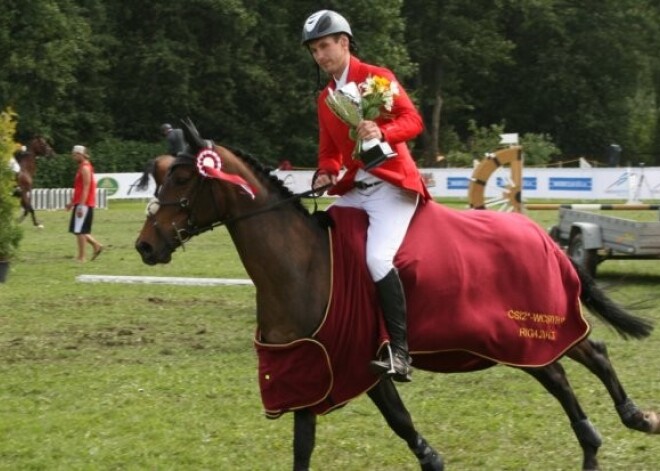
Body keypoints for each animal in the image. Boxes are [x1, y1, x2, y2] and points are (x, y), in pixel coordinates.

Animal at [135, 120, 660, 470]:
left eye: (182, 178)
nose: (145, 246)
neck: (301, 265)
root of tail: (539, 234)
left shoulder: (361, 361)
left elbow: (402, 424)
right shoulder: (311, 366)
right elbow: (304, 444)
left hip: (530, 326)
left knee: (590, 353)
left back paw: (633, 418)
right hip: (514, 338)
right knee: (564, 370)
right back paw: (596, 440)